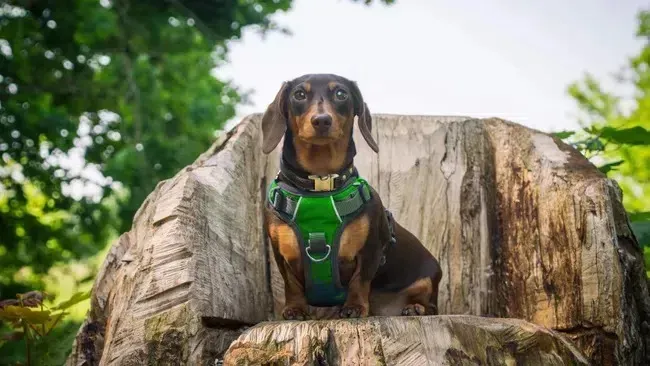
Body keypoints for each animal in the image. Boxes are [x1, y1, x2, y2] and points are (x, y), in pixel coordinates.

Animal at [260, 73, 440, 318]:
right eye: (299, 94)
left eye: (340, 94)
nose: (322, 120)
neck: (320, 184)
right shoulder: (282, 255)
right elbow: (291, 284)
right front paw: (295, 309)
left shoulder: (371, 249)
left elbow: (360, 280)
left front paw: (354, 307)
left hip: (427, 280)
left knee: (431, 305)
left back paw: (415, 307)